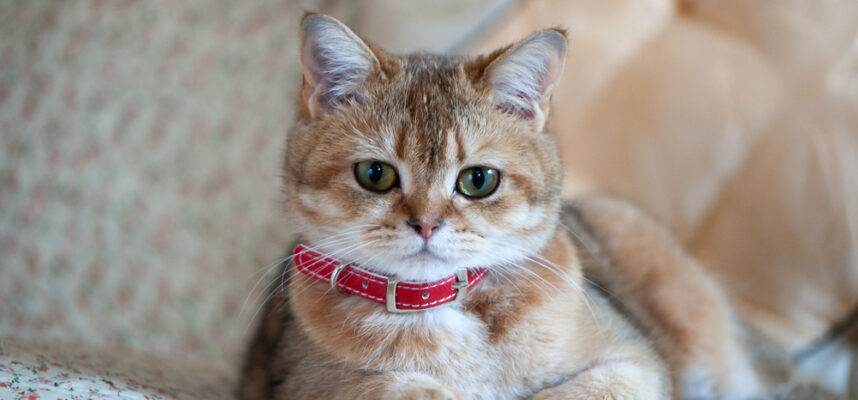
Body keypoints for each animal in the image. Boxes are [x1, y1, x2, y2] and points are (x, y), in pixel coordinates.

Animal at [237, 12, 764, 400]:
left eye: (478, 181)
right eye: (375, 174)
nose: (426, 224)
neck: (440, 311)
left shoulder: (634, 359)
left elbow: (584, 389)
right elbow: (405, 390)